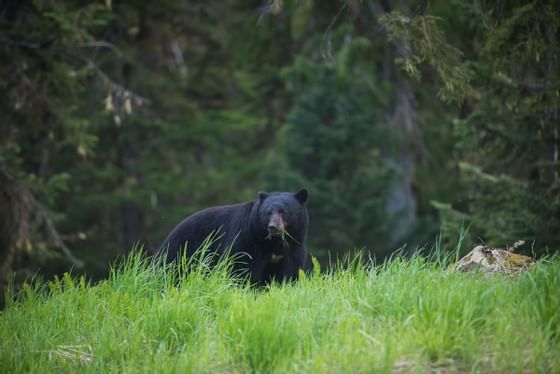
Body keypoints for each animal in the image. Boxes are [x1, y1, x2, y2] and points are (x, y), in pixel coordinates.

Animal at [155, 188, 308, 284]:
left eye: (284, 211)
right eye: (268, 212)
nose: (273, 227)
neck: (274, 243)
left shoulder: (293, 246)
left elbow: (290, 270)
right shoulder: (247, 238)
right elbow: (240, 265)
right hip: (182, 251)